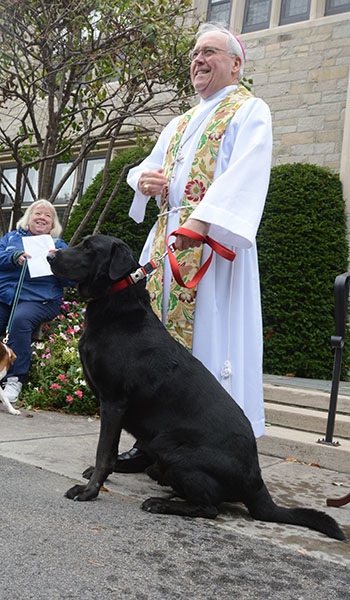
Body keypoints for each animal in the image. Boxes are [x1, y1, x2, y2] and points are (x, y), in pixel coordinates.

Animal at [47, 237, 346, 540]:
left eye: (89, 248)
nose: (49, 256)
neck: (117, 305)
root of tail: (256, 482)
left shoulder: (113, 402)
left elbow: (103, 453)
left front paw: (89, 492)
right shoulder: (114, 408)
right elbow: (110, 451)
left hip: (173, 450)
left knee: (209, 508)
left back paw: (161, 503)